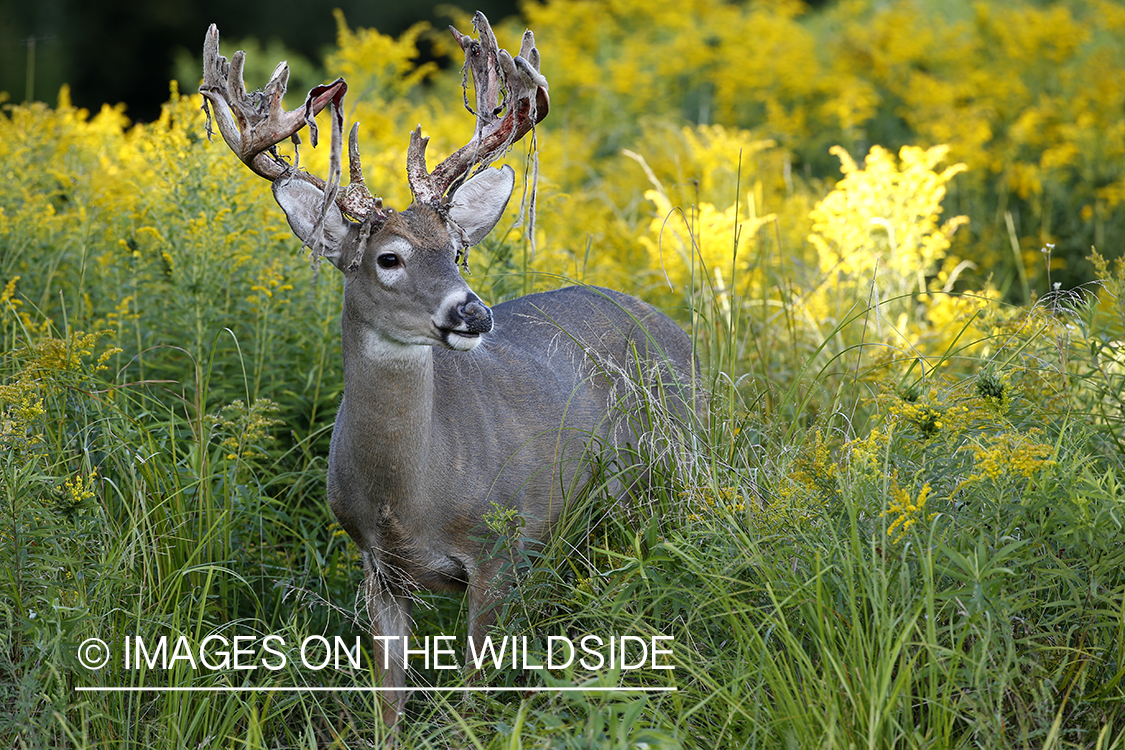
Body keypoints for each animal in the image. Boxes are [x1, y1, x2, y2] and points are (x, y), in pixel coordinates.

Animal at [199, 11, 697, 728]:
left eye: (457, 250)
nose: (473, 313)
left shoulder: (503, 544)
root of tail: (675, 329)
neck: (411, 494)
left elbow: (472, 688)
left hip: (669, 468)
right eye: (388, 258)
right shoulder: (376, 564)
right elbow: (389, 698)